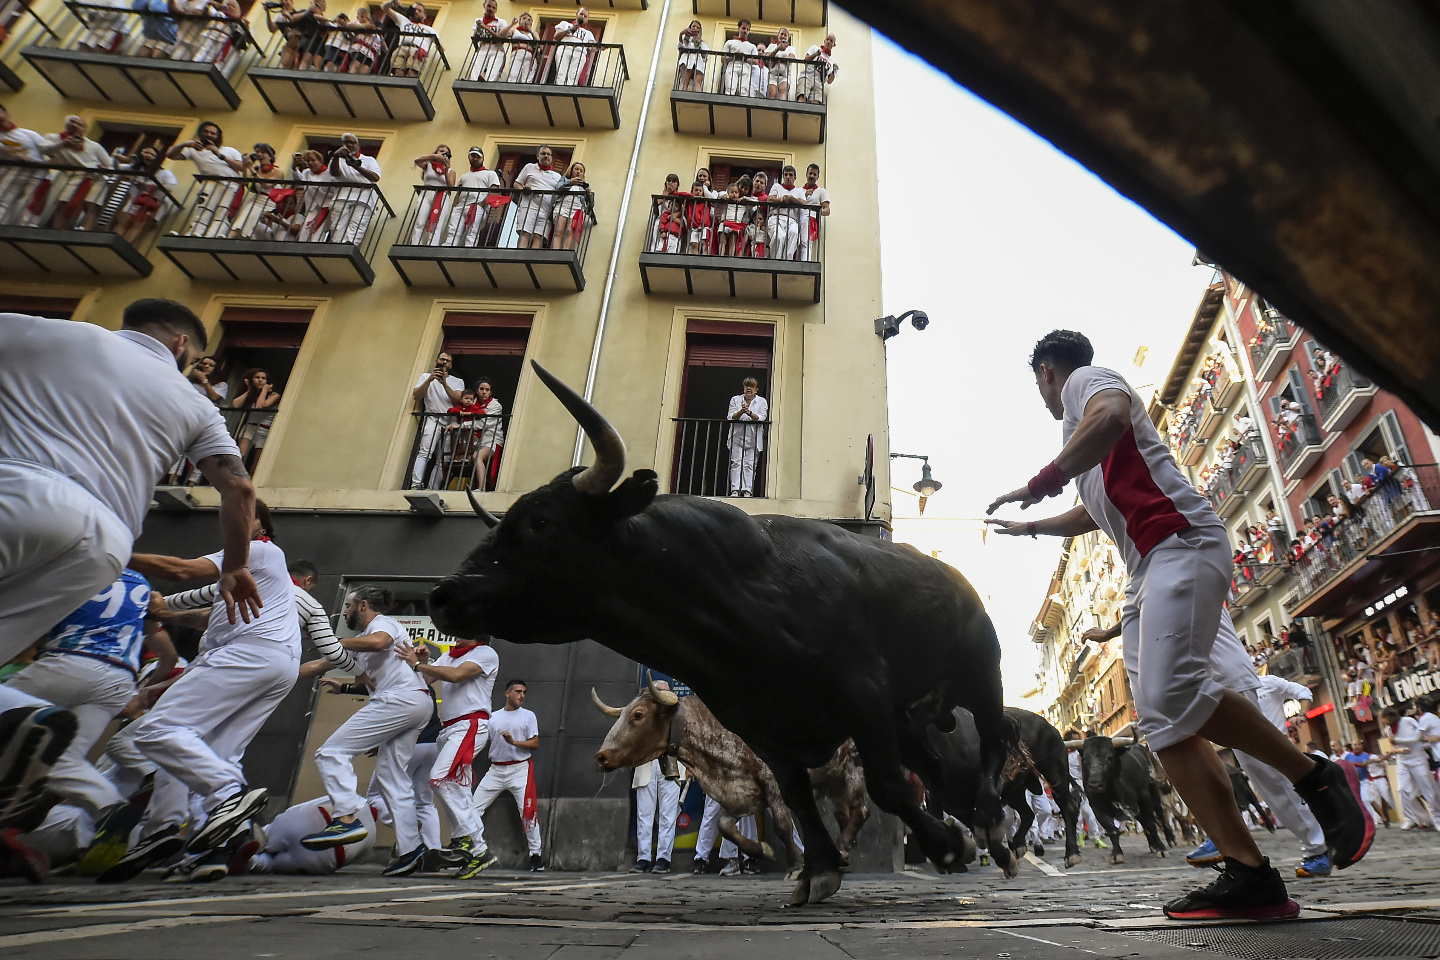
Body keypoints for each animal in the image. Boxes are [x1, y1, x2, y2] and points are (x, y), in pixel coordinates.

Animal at [590, 679, 869, 875]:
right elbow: (725, 826)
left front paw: (795, 865)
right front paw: (763, 850)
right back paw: (842, 852)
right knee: (845, 816)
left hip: (854, 773)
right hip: (835, 784)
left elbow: (782, 826)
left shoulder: (775, 785)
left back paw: (842, 847)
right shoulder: (740, 794)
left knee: (861, 811)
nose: (601, 757)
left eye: (638, 714)